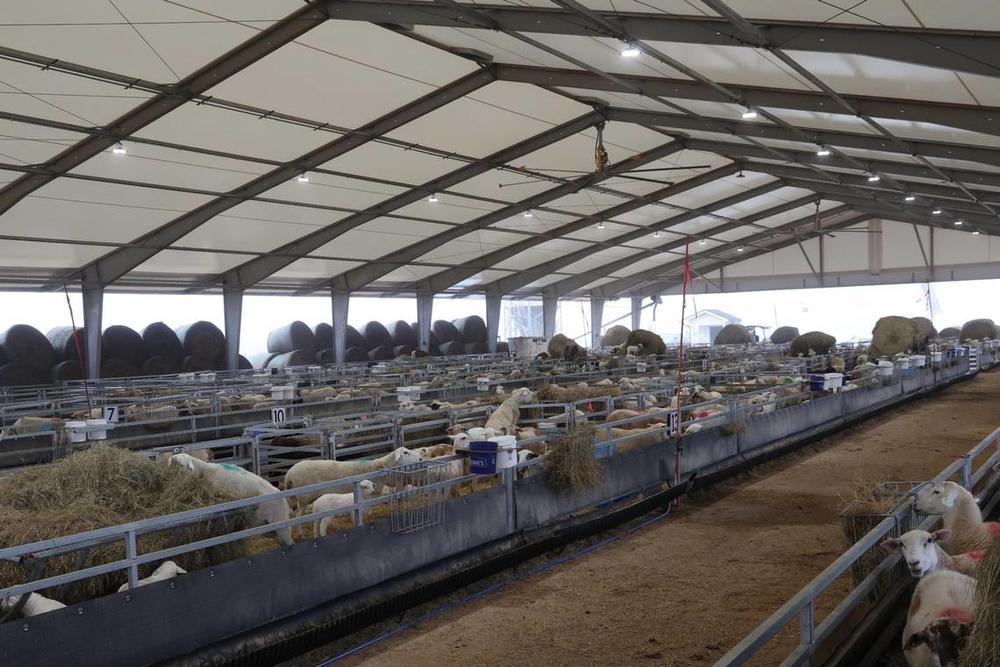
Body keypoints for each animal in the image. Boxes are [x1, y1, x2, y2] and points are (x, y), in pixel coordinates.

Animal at [282, 448, 422, 512]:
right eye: (406, 453)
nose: (421, 459)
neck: (377, 468)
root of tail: (289, 474)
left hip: (295, 498)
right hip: (303, 498)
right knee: (297, 515)